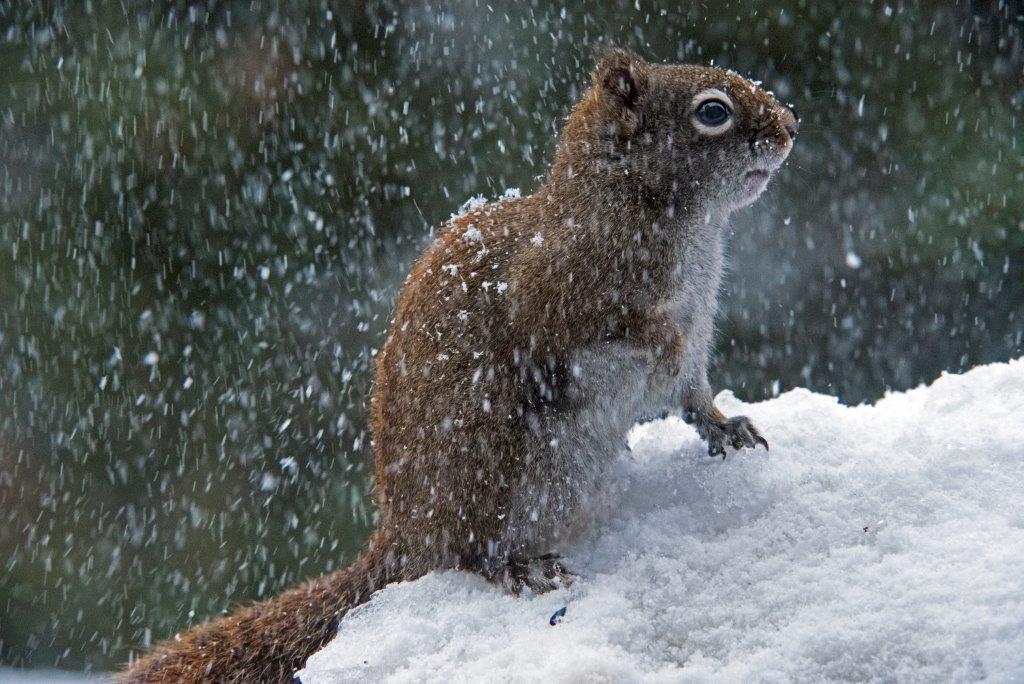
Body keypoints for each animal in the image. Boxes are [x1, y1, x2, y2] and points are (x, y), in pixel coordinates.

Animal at [121, 47, 797, 682]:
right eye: (713, 111)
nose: (791, 126)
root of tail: (402, 539)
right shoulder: (565, 292)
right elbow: (617, 333)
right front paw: (662, 344)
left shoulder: (698, 328)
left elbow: (693, 398)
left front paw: (729, 429)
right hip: (486, 460)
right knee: (473, 549)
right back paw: (520, 566)